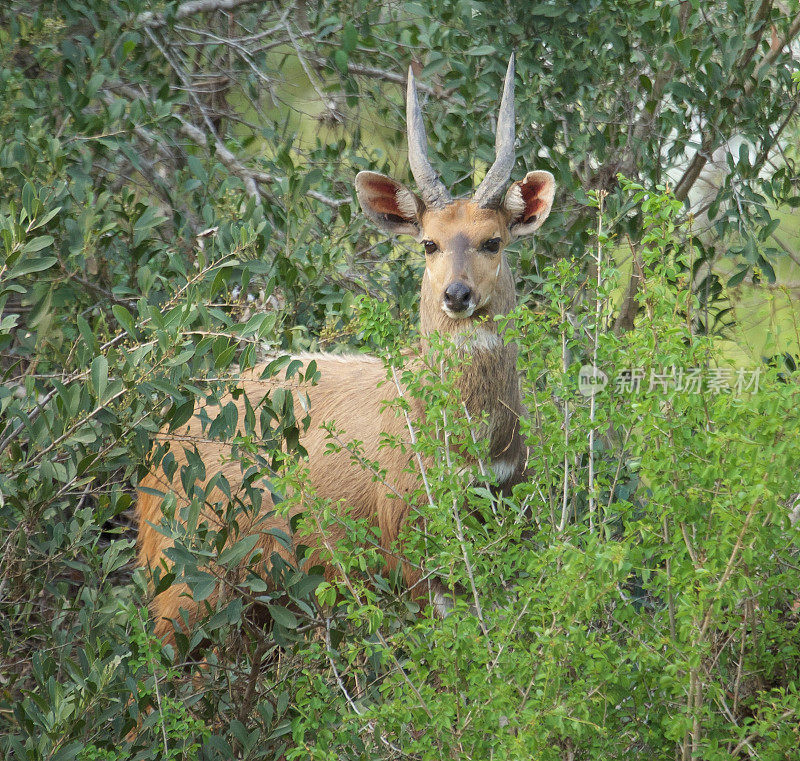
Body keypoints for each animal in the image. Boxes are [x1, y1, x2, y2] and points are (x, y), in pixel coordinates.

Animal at [136, 55, 552, 640]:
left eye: (493, 241)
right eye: (429, 243)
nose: (457, 295)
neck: (474, 443)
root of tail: (161, 445)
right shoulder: (413, 553)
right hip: (187, 585)